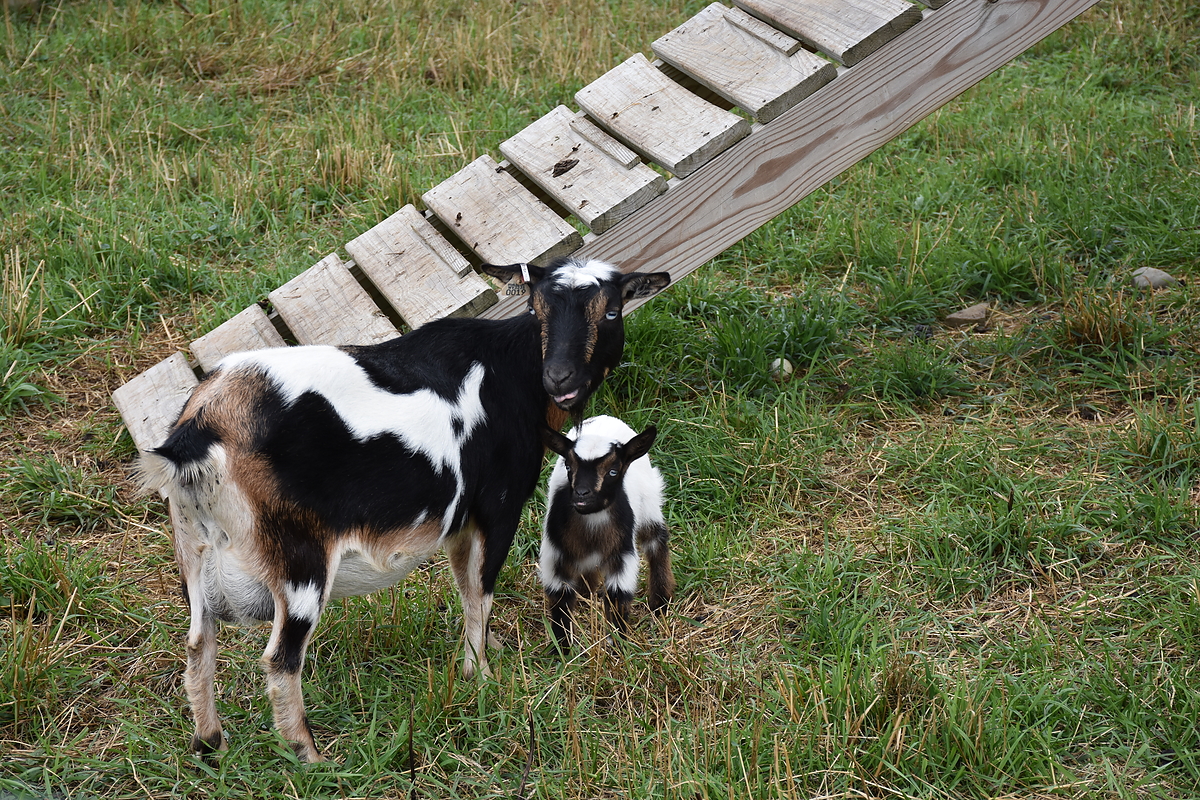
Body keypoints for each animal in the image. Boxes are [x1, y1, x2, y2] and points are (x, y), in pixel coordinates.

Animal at [539, 415, 674, 650]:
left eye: (613, 471)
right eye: (568, 466)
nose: (581, 494)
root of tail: (605, 417)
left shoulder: (621, 553)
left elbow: (619, 593)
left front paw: (617, 641)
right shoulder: (555, 553)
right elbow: (560, 594)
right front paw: (562, 646)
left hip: (650, 502)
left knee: (656, 541)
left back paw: (660, 603)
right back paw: (587, 593)